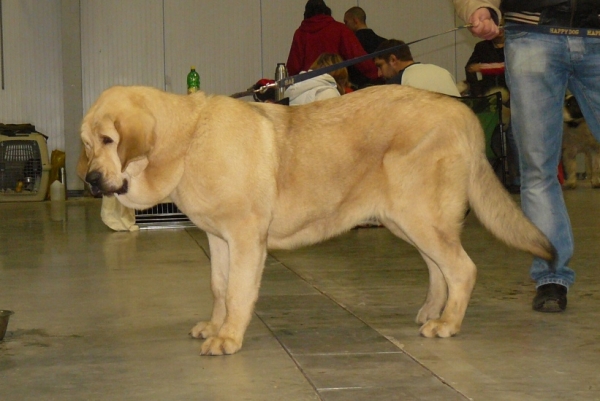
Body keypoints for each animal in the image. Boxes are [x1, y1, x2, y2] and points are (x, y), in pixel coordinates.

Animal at [78, 83, 552, 354]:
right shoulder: (218, 238)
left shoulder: (246, 237)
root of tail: (464, 113)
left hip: (420, 216)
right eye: (86, 143)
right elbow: (218, 287)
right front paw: (215, 325)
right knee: (440, 269)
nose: (90, 180)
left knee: (462, 268)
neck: (189, 140)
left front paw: (228, 337)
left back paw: (448, 324)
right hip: (408, 220)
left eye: (109, 140)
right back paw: (432, 313)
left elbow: (238, 292)